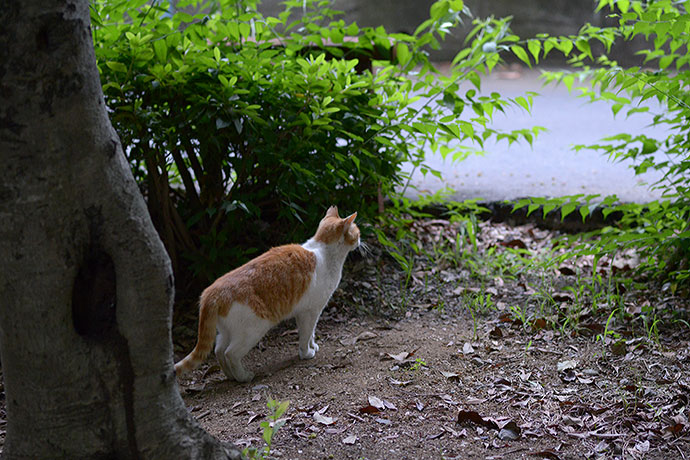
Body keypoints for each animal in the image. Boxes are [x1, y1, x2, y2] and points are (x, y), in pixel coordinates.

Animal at [173, 207, 360, 382]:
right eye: (357, 232)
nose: (360, 240)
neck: (323, 250)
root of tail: (211, 292)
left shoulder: (308, 312)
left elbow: (311, 333)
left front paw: (313, 346)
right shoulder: (311, 311)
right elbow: (306, 334)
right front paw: (306, 352)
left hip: (227, 331)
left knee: (219, 350)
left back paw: (231, 376)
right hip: (254, 329)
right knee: (230, 353)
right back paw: (243, 377)